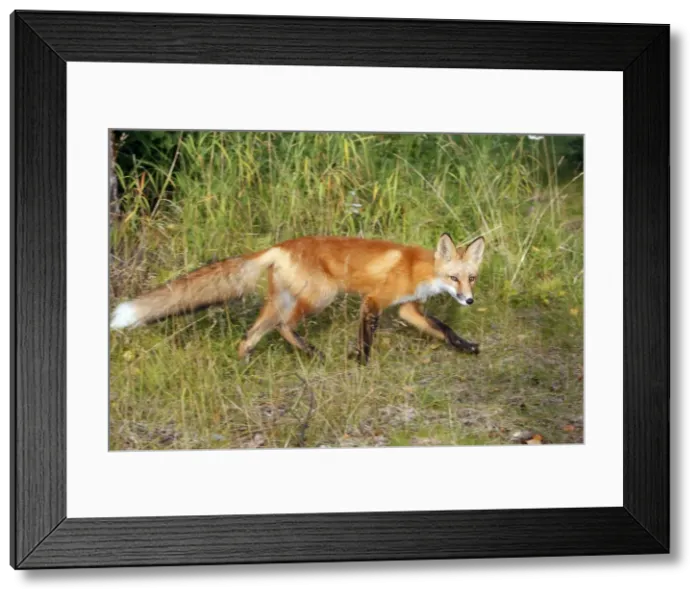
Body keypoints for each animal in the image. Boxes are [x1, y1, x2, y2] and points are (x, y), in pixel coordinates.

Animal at [110, 232, 486, 364]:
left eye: (471, 278)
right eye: (453, 278)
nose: (468, 301)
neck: (417, 268)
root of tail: (281, 245)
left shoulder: (409, 309)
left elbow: (444, 328)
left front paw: (466, 346)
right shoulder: (373, 301)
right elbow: (366, 339)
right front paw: (362, 364)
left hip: (282, 301)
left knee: (250, 335)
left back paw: (243, 365)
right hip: (319, 297)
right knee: (284, 328)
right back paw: (313, 353)